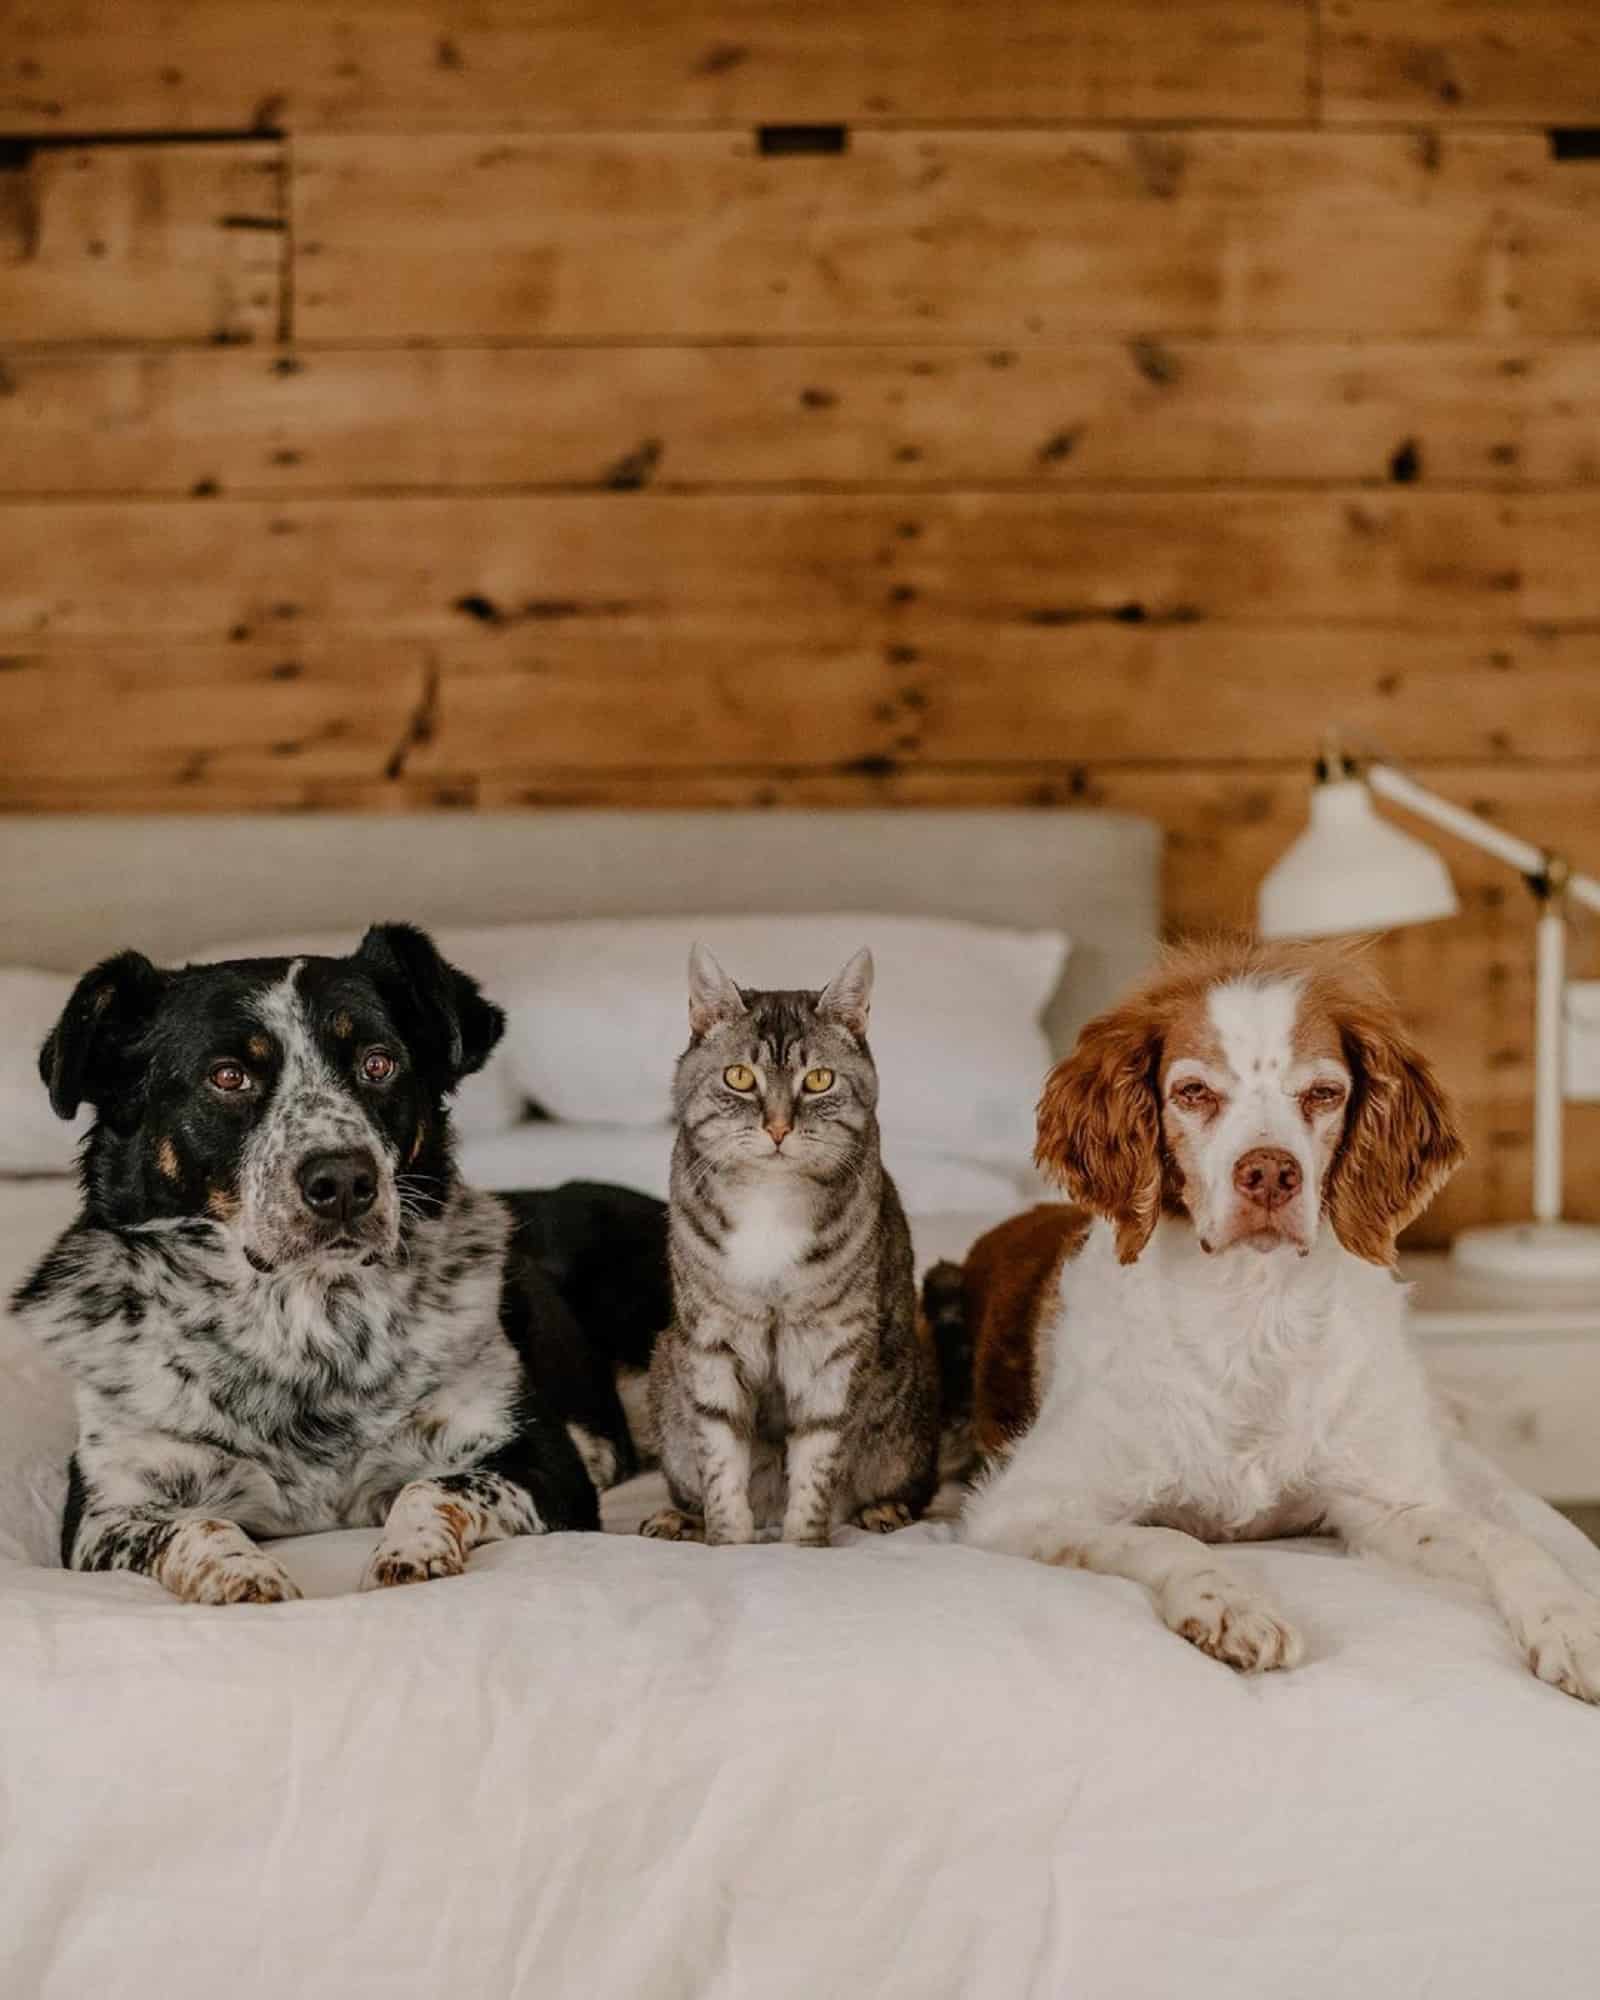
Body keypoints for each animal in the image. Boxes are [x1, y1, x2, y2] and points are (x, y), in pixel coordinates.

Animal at [10, 928, 664, 1600]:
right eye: (228, 1076)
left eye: (378, 1063)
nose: (345, 1181)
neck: (304, 1321)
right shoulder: (105, 1509)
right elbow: (197, 1526)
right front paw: (244, 1573)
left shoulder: (543, 1464)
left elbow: (426, 1486)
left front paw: (411, 1550)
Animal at [640, 940, 936, 1544]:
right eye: (738, 1077)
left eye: (819, 1080)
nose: (777, 1127)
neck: (769, 1199)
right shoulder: (711, 1340)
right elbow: (719, 1456)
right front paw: (726, 1541)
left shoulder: (833, 1344)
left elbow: (818, 1459)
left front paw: (804, 1545)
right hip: (666, 1375)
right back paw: (681, 1519)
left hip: (903, 1419)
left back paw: (883, 1510)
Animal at [956, 936, 1600, 1704]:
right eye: (1194, 1092)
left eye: (1322, 1093)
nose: (1269, 1173)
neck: (1253, 1314)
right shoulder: (1023, 1508)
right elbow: (1165, 1536)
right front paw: (1232, 1605)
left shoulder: (1385, 1508)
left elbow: (1508, 1540)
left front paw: (1572, 1623)